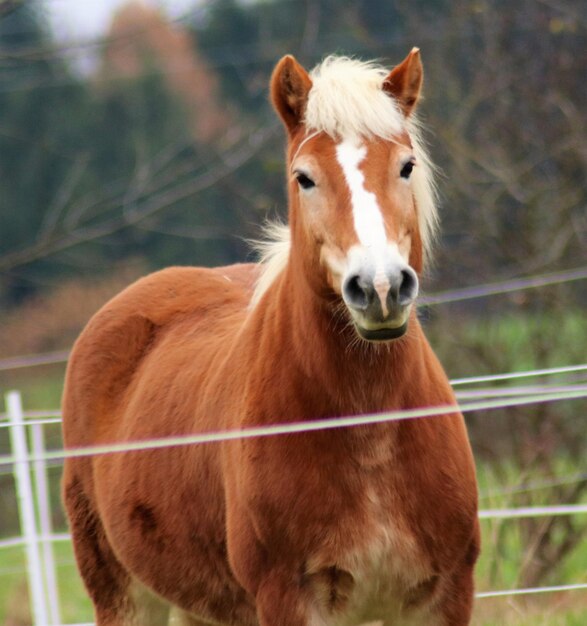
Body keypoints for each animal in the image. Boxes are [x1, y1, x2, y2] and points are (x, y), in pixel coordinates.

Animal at [62, 50, 480, 624]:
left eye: (406, 166)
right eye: (304, 178)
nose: (381, 287)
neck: (369, 433)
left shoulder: (444, 597)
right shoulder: (286, 599)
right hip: (123, 596)